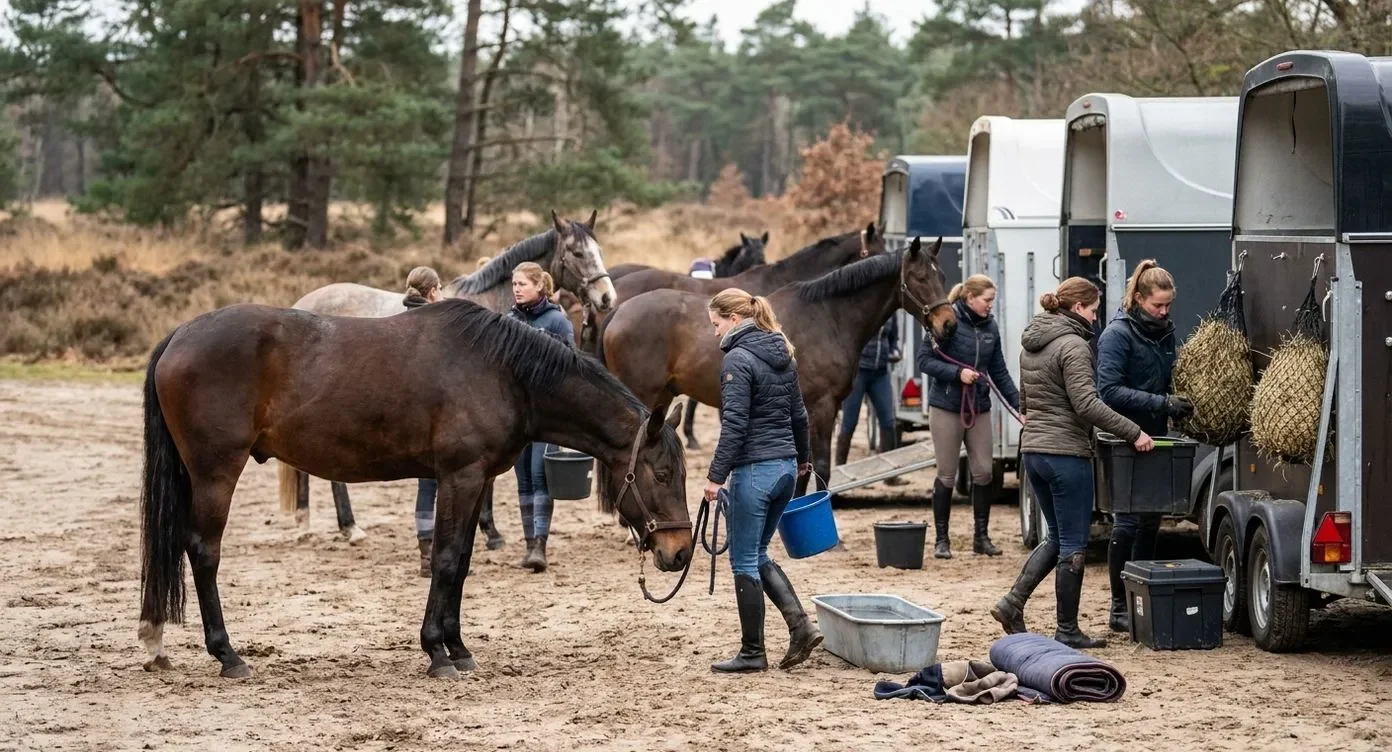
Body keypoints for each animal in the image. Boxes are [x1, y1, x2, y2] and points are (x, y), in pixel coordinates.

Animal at [138, 299, 691, 680]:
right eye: (662, 474)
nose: (681, 552)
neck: (503, 373)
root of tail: (180, 336)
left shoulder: (478, 479)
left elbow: (462, 561)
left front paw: (459, 648)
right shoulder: (458, 477)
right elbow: (444, 559)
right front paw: (436, 652)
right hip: (215, 472)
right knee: (203, 551)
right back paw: (227, 655)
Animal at [281, 211, 612, 547]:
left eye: (599, 250)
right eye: (577, 252)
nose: (606, 297)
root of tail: (303, 304)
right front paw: (491, 532)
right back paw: (343, 525)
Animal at [598, 237, 953, 496]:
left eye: (942, 276)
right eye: (920, 277)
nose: (948, 324)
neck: (828, 316)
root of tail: (618, 312)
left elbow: (806, 466)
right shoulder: (821, 407)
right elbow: (819, 466)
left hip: (664, 396)